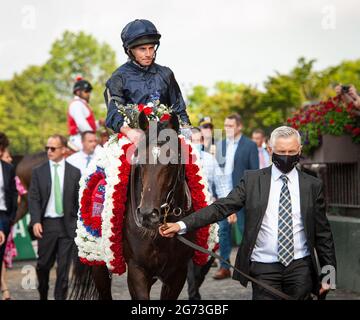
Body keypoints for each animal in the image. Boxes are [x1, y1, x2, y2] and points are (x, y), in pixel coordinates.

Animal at [71, 113, 197, 300]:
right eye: (139, 163)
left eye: (171, 162)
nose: (147, 215)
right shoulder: (137, 270)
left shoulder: (178, 272)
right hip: (99, 265)